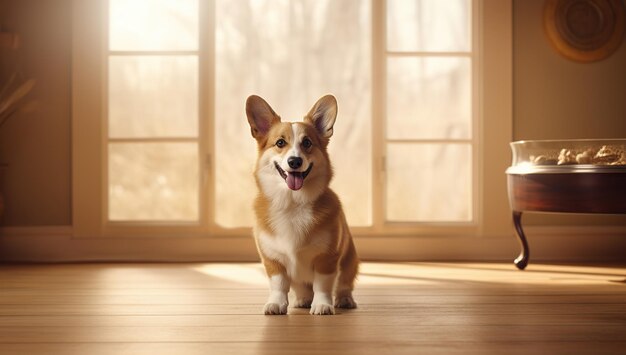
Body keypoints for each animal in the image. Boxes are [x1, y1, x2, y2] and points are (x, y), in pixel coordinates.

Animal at [246, 95, 358, 318]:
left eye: (307, 143)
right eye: (280, 143)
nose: (295, 161)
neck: (292, 202)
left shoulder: (327, 258)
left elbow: (322, 285)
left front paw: (322, 305)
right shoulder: (273, 260)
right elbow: (278, 285)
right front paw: (276, 304)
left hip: (350, 260)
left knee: (343, 284)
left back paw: (344, 300)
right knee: (301, 288)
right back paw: (303, 300)